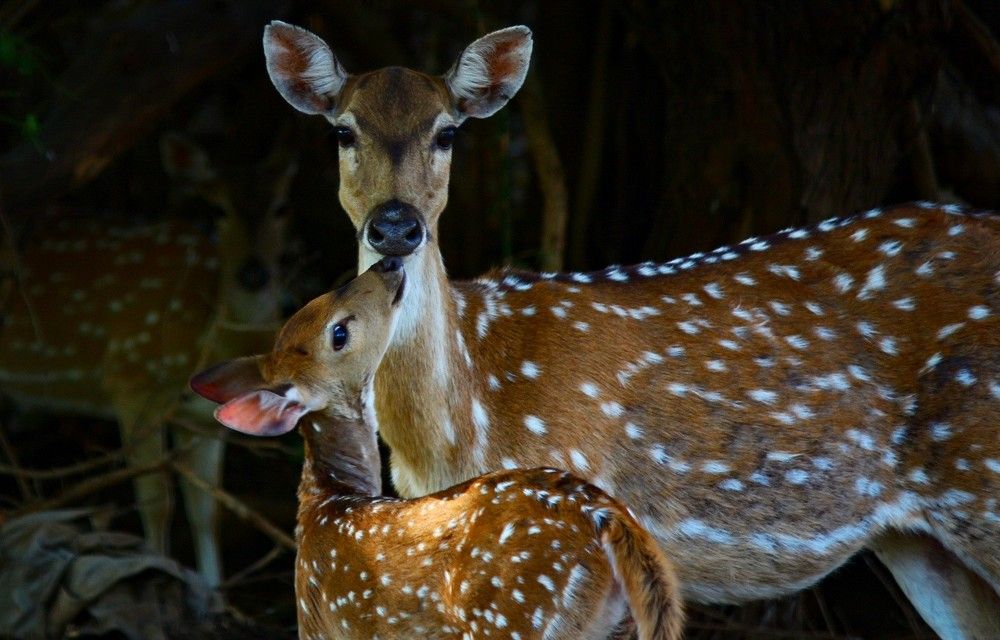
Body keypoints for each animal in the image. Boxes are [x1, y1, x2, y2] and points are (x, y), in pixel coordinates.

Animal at [0, 133, 295, 587]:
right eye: (216, 208)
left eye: (281, 206)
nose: (254, 273)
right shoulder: (131, 380)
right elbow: (157, 501)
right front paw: (157, 574)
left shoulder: (199, 416)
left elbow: (206, 508)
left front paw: (215, 593)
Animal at [262, 20, 1000, 639]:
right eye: (342, 130)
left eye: (447, 131)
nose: (395, 225)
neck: (460, 426)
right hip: (917, 541)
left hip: (981, 476)